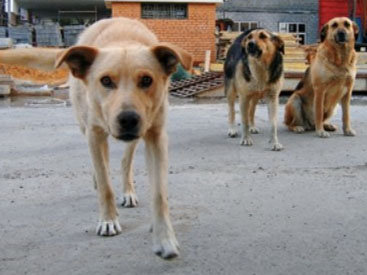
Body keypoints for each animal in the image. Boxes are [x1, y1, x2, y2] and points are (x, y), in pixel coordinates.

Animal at [0, 18, 194, 260]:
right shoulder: (93, 133)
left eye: (146, 80)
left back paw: (128, 191)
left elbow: (159, 195)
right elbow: (104, 184)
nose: (128, 119)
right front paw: (108, 220)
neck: (123, 41)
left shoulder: (156, 136)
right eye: (106, 81)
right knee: (102, 163)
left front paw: (165, 239)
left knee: (124, 161)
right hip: (87, 127)